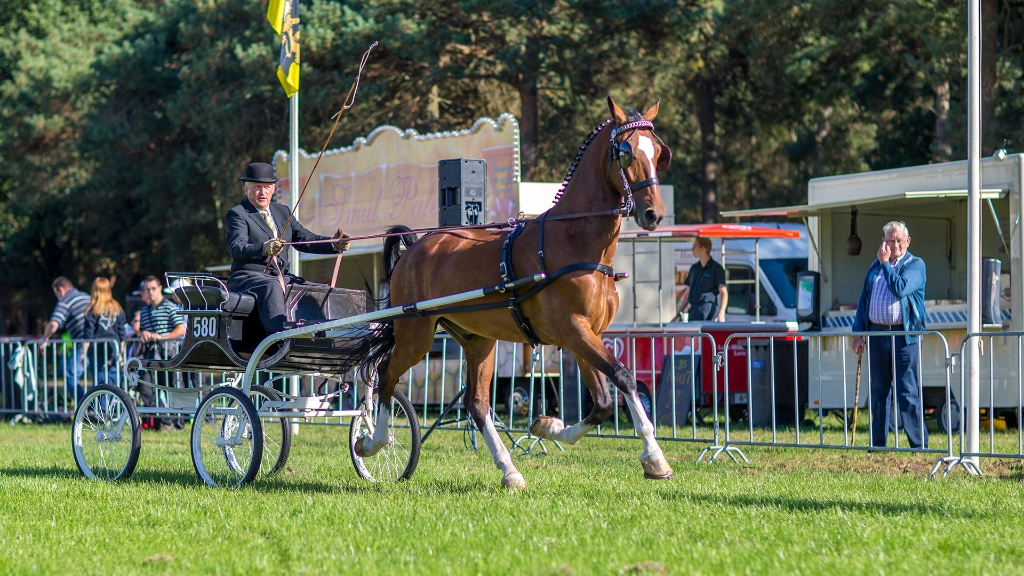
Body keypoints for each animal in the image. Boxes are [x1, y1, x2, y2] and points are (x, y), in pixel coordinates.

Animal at [356, 96, 675, 485]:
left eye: (659, 152)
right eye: (626, 153)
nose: (654, 214)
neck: (575, 242)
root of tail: (414, 247)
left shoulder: (586, 335)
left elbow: (601, 403)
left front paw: (547, 426)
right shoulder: (574, 330)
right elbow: (624, 378)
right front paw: (655, 456)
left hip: (478, 339)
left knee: (477, 404)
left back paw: (509, 470)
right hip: (415, 333)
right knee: (387, 375)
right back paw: (372, 442)